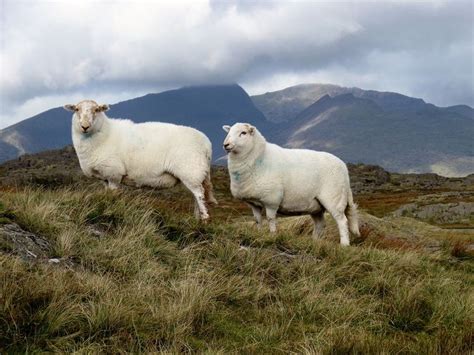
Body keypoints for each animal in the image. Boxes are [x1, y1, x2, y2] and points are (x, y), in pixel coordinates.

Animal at [64, 100, 217, 221]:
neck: (104, 133)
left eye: (96, 110)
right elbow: (107, 193)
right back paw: (196, 218)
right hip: (195, 173)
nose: (85, 126)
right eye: (76, 109)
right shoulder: (105, 177)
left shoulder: (114, 173)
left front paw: (111, 207)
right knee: (196, 195)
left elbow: (113, 194)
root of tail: (206, 143)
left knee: (199, 194)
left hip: (190, 170)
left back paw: (204, 219)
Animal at [222, 122, 360, 245]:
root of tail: (343, 166)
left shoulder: (271, 199)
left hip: (333, 198)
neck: (259, 157)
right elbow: (257, 220)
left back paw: (344, 244)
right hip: (315, 204)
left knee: (342, 221)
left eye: (243, 133)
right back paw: (314, 241)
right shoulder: (254, 203)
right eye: (228, 132)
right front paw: (258, 234)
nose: (225, 144)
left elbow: (271, 219)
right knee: (320, 224)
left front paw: (272, 236)